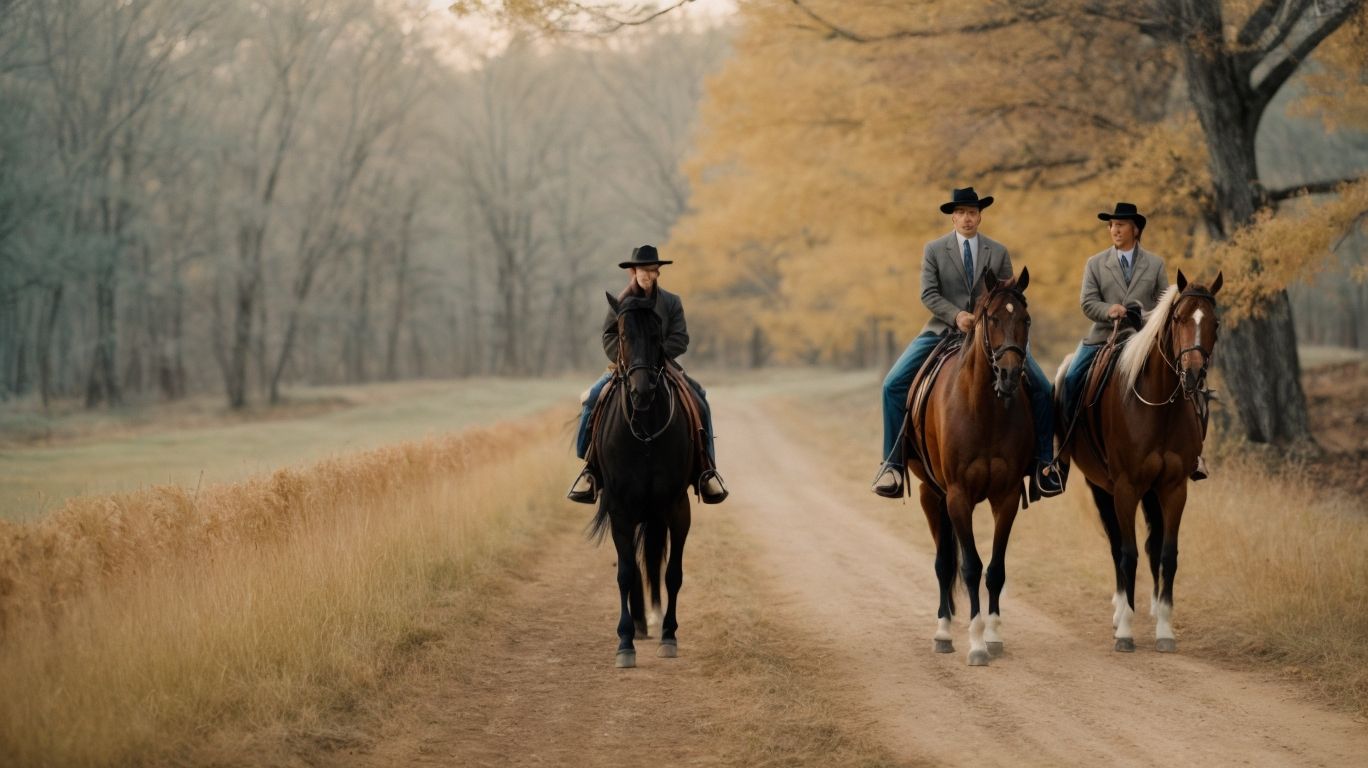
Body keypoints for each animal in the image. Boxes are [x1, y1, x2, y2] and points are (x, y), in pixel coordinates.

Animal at [586, 289, 693, 669]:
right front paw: (625, 643)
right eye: (620, 335)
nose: (641, 391)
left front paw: (669, 635)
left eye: (656, 334)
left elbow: (672, 573)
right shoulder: (620, 508)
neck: (645, 430)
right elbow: (625, 572)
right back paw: (637, 623)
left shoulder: (676, 507)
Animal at [907, 268, 1035, 667]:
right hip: (931, 495)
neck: (985, 411)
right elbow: (969, 567)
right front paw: (976, 644)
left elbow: (995, 569)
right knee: (944, 563)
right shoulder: (958, 497)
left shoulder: (1006, 497)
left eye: (1025, 320)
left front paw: (992, 636)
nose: (1010, 374)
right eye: (991, 318)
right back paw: (943, 632)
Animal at [1055, 270, 1223, 653]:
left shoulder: (1173, 489)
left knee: (1150, 545)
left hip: (1150, 491)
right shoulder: (1125, 487)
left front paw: (1165, 629)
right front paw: (1126, 632)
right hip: (1101, 487)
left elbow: (1167, 554)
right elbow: (1127, 553)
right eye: (1178, 318)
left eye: (1215, 323)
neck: (1157, 406)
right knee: (1117, 545)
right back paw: (1120, 615)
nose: (1193, 375)